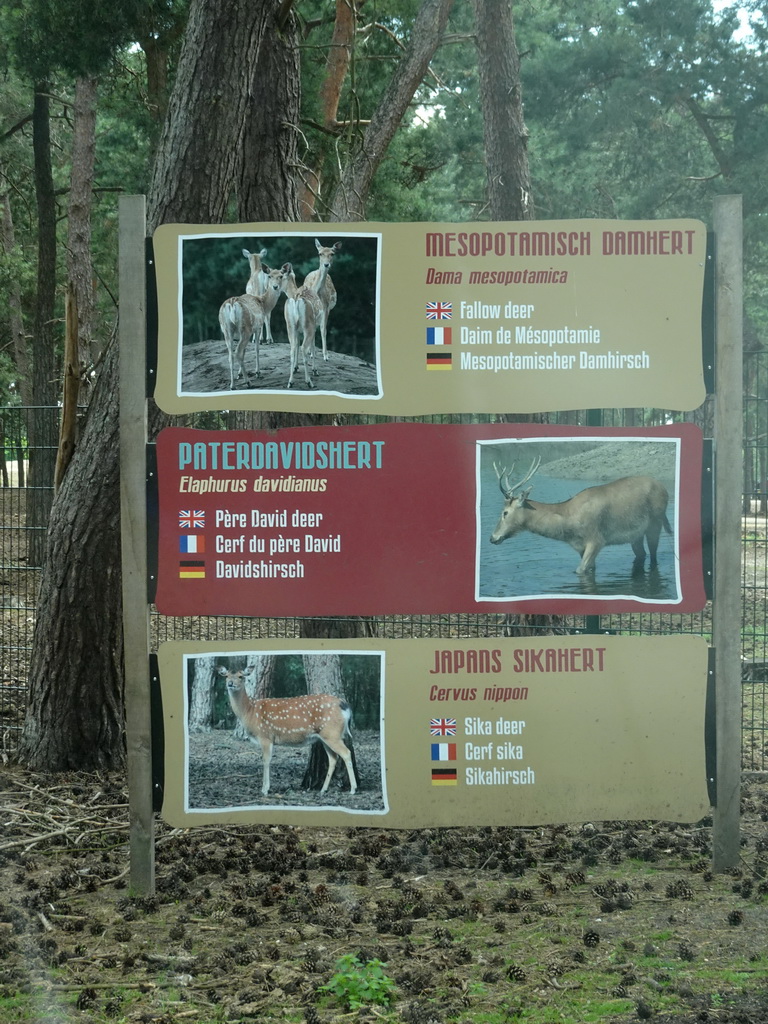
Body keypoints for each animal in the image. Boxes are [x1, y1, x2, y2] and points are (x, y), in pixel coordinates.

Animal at [219, 663, 358, 798]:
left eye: (241, 676)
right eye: (226, 676)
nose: (230, 683)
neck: (250, 712)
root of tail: (345, 706)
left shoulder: (265, 735)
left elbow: (266, 760)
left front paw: (265, 789)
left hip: (332, 733)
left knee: (346, 753)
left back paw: (353, 789)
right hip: (325, 736)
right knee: (333, 758)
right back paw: (323, 789)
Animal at [493, 458, 671, 577]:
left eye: (505, 512)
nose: (493, 537)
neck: (568, 525)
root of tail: (664, 489)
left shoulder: (597, 540)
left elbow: (579, 570)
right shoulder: (580, 547)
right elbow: (590, 569)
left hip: (655, 522)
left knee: (653, 555)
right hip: (636, 535)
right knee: (641, 554)